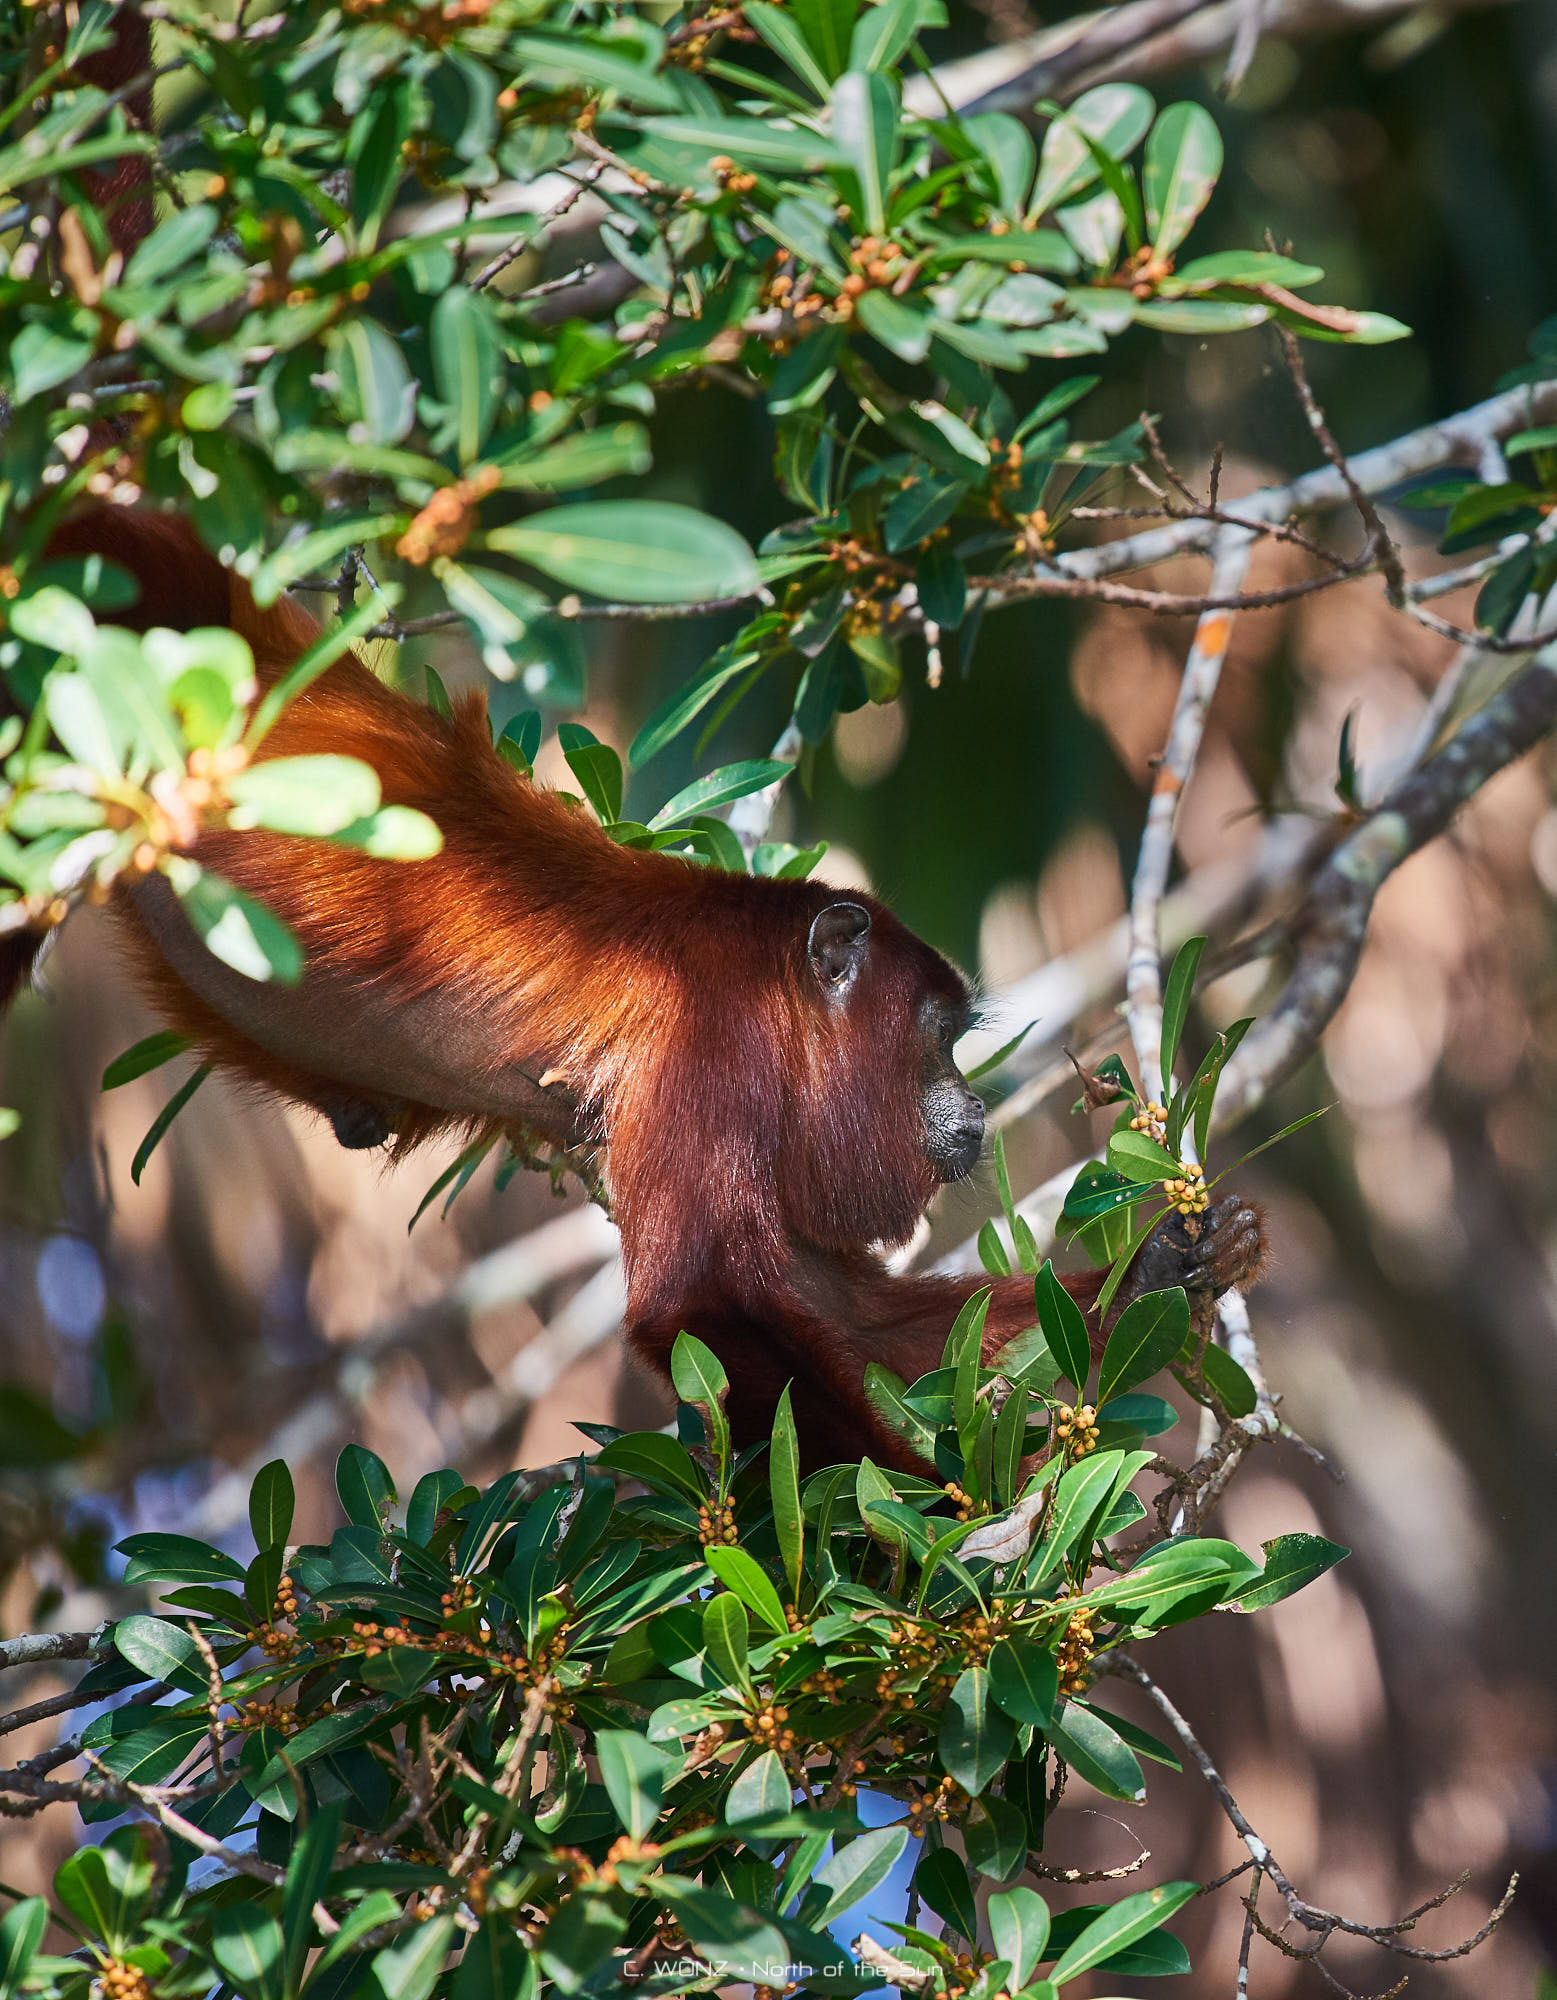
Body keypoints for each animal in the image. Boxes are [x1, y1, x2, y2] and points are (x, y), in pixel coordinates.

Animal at [15, 508, 1264, 1472]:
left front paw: (1163, 1268)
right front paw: (927, 1540)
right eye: (940, 1035)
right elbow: (701, 1305)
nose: (975, 1106)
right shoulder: (711, 1046)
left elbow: (840, 1308)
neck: (768, 977)